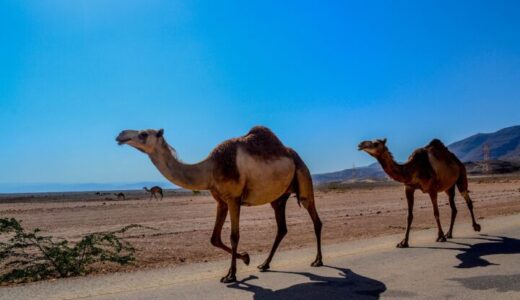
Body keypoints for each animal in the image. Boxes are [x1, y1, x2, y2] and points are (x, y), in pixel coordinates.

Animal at [116, 126, 322, 284]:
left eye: (143, 134)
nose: (120, 135)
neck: (210, 169)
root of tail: (295, 156)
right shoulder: (221, 201)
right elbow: (214, 238)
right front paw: (246, 258)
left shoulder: (234, 198)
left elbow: (234, 236)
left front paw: (231, 275)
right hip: (278, 198)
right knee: (282, 228)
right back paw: (264, 264)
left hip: (303, 177)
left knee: (315, 219)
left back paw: (317, 261)